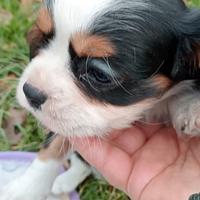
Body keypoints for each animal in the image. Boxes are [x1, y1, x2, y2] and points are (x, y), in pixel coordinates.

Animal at [1, 0, 200, 199]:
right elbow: (52, 146)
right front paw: (24, 190)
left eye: (99, 74)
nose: (30, 92)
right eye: (43, 38)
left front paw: (191, 110)